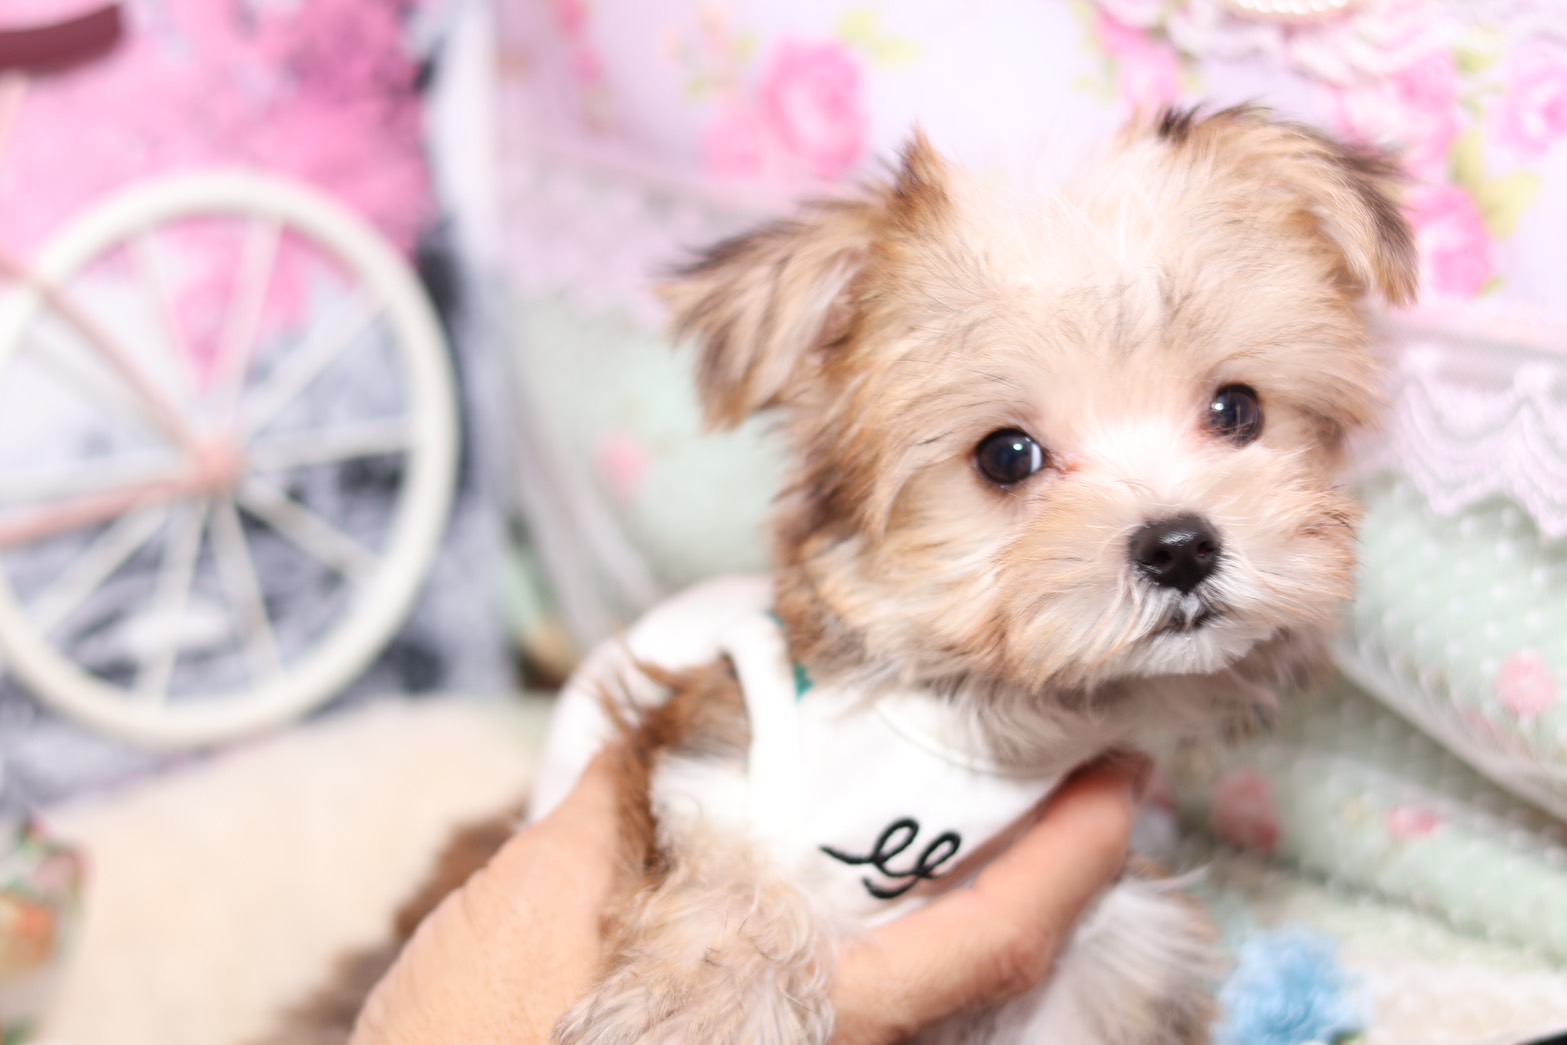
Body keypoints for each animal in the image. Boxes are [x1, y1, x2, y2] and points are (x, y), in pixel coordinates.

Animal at [528, 105, 1416, 1044]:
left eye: (1236, 409)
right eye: (1006, 455)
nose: (1179, 545)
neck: (980, 705)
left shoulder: (1102, 933)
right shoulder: (715, 753)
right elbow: (725, 876)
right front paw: (702, 1008)